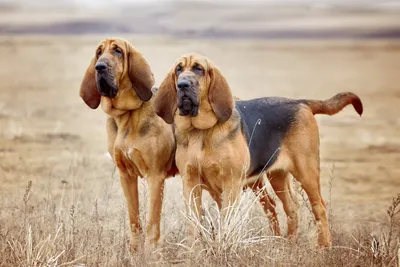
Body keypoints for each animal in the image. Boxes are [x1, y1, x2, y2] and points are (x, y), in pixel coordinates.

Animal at [79, 37, 177, 251]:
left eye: (118, 51)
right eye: (99, 52)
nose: (100, 66)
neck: (127, 115)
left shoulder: (155, 177)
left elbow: (152, 221)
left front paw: (150, 251)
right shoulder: (126, 176)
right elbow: (134, 218)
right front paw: (134, 249)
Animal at [152, 53, 362, 248]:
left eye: (198, 69)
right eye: (178, 69)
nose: (183, 85)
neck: (201, 132)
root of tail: (300, 102)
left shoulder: (231, 183)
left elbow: (227, 219)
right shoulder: (191, 183)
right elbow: (194, 222)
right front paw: (194, 250)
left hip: (306, 173)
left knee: (319, 207)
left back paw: (324, 245)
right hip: (276, 177)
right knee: (290, 207)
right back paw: (288, 242)